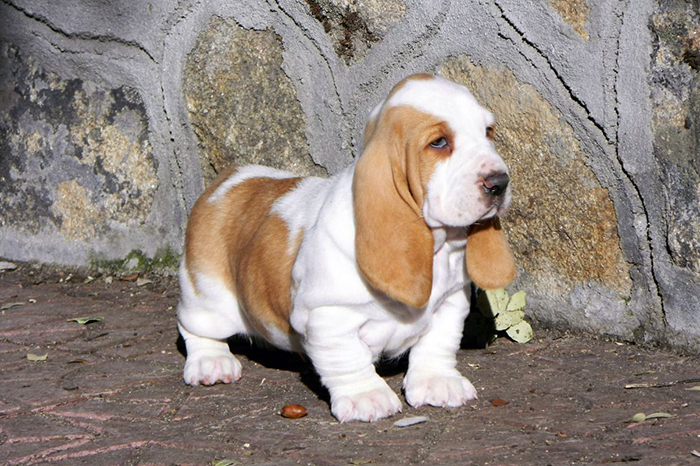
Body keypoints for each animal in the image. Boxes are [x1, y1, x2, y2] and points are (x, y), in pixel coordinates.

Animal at [177, 74, 516, 422]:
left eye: (488, 131)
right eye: (438, 143)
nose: (499, 183)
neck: (436, 246)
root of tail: (228, 179)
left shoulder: (450, 304)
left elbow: (436, 345)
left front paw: (438, 383)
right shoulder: (329, 317)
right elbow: (348, 361)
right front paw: (367, 396)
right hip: (208, 296)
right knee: (194, 327)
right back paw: (211, 363)